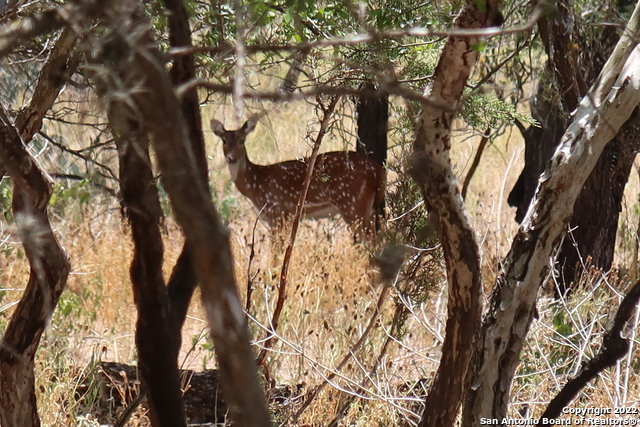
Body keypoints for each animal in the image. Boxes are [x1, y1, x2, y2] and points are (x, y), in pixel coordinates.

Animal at [212, 117, 388, 241]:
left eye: (242, 141)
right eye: (224, 141)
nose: (231, 158)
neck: (255, 184)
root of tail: (379, 170)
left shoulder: (276, 212)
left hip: (352, 203)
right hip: (369, 207)